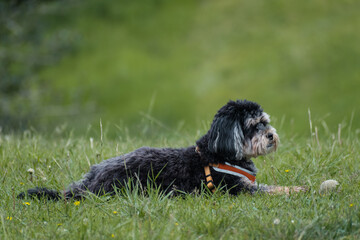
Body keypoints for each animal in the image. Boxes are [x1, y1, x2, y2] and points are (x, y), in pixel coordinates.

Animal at [17, 99, 304, 201]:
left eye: (264, 121)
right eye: (253, 126)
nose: (270, 135)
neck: (219, 155)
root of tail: (88, 185)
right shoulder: (237, 190)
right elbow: (272, 189)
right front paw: (298, 188)